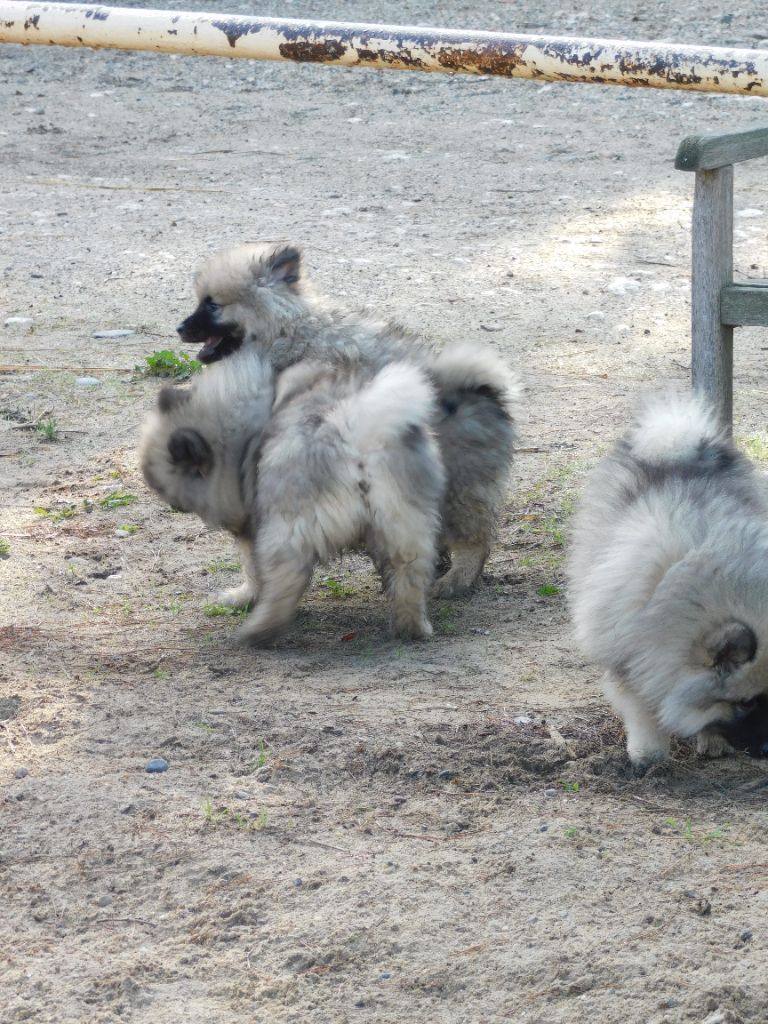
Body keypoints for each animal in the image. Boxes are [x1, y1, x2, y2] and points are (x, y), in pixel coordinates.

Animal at [141, 348, 448, 643]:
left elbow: (252, 568)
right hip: (406, 523)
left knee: (284, 582)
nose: (172, 505)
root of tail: (353, 429)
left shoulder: (253, 524)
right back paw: (411, 628)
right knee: (410, 573)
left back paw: (258, 632)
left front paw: (244, 597)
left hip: (285, 530)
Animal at [177, 242, 520, 598]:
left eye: (212, 304)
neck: (286, 331)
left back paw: (456, 580)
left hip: (458, 484)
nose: (180, 329)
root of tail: (484, 392)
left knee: (473, 540)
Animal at [569, 391, 768, 770]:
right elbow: (642, 706)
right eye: (747, 702)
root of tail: (676, 442)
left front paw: (711, 739)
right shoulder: (631, 654)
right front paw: (649, 753)